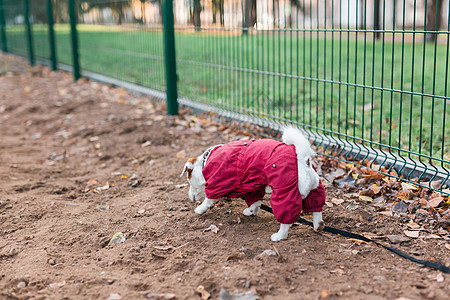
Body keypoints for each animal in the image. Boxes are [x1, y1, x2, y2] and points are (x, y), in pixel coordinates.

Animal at [181, 126, 326, 241]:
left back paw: (279, 236)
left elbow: (209, 199)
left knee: (286, 218)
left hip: (285, 191)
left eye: (189, 181)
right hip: (314, 188)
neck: (206, 162)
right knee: (316, 207)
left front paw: (200, 209)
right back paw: (318, 225)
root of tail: (302, 158)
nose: (189, 198)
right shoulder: (253, 186)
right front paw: (251, 210)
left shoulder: (218, 183)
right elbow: (255, 201)